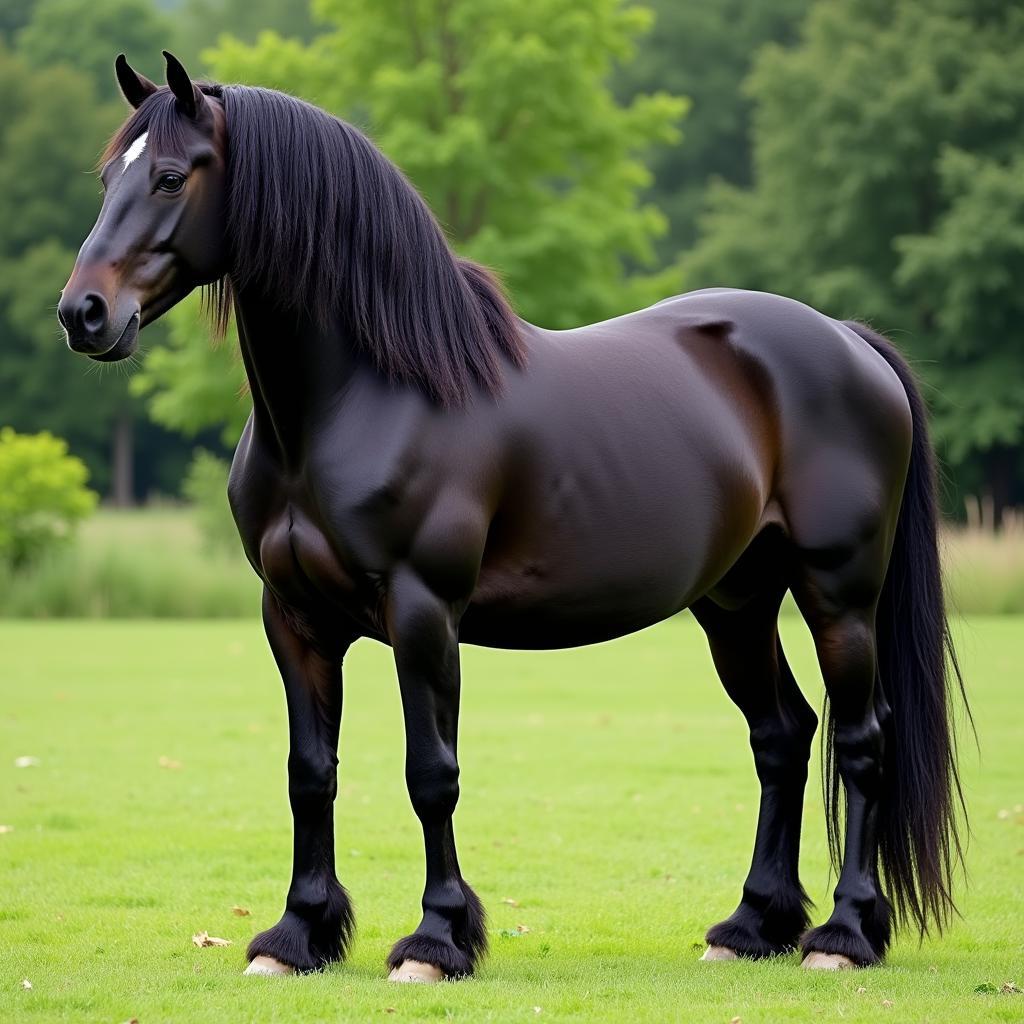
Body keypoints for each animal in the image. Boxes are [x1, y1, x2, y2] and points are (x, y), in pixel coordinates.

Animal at [58, 54, 966, 983]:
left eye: (172, 177)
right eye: (108, 177)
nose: (83, 313)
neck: (368, 396)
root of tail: (849, 342)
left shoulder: (424, 612)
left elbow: (432, 774)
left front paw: (436, 940)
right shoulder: (295, 618)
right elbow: (310, 773)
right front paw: (297, 935)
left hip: (838, 595)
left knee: (861, 741)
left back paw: (843, 935)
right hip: (736, 604)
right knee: (782, 736)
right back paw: (751, 925)